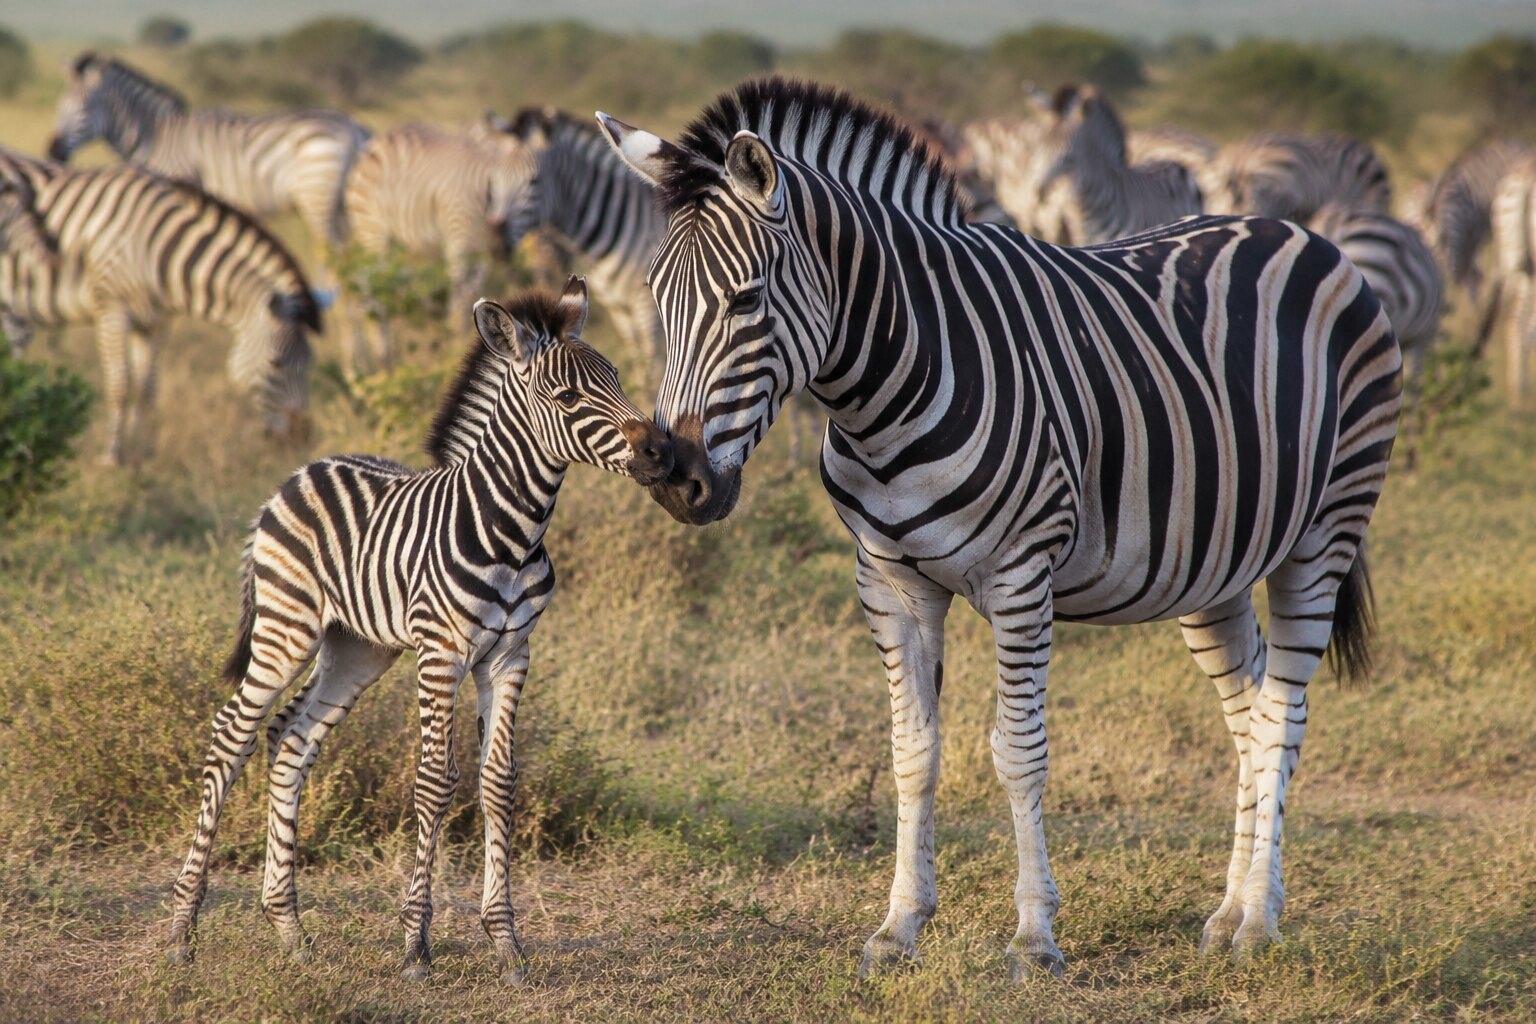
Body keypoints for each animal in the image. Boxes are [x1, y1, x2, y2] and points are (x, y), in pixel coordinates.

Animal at [0, 149, 317, 464]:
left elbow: (147, 390)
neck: (155, 249)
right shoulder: (111, 308)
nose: (300, 439)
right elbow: (120, 385)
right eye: (275, 363)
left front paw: (142, 451)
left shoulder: (154, 322)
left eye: (309, 364)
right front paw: (112, 457)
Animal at [48, 53, 368, 267]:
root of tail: (352, 127)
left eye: (84, 107)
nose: (53, 152)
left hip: (316, 197)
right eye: (60, 104)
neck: (157, 136)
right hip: (343, 205)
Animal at [166, 278, 674, 982]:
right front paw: (416, 946)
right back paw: (182, 930)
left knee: (290, 738)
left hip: (357, 649)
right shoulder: (442, 653)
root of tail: (298, 473)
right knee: (231, 734)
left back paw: (290, 931)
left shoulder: (511, 656)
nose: (662, 453)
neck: (512, 530)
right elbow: (436, 782)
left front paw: (506, 944)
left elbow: (498, 781)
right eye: (568, 397)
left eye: (618, 379)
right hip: (286, 627)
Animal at [342, 120, 542, 363]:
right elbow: (459, 294)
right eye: (494, 182)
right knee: (369, 288)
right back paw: (380, 357)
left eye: (534, 181)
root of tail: (376, 141)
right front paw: (455, 347)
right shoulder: (458, 239)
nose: (500, 247)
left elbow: (472, 293)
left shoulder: (482, 255)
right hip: (372, 229)